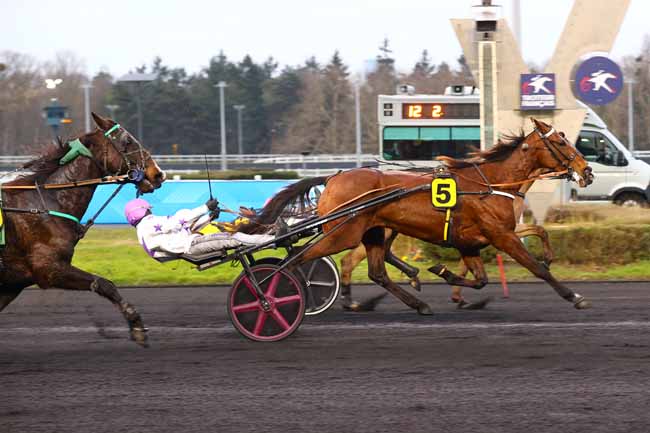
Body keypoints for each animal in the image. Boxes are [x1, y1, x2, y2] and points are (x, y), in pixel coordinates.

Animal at [0, 113, 165, 346]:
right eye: (127, 141)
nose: (158, 174)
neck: (45, 203)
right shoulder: (49, 269)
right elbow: (104, 284)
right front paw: (136, 324)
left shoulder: (12, 284)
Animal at [248, 118, 592, 314]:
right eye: (560, 141)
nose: (586, 170)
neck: (492, 184)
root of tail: (334, 176)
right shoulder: (500, 235)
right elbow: (536, 268)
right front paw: (574, 295)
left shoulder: (474, 241)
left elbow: (484, 276)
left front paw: (444, 274)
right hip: (343, 232)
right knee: (299, 259)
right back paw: (279, 295)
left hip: (373, 231)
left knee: (376, 271)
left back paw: (416, 301)